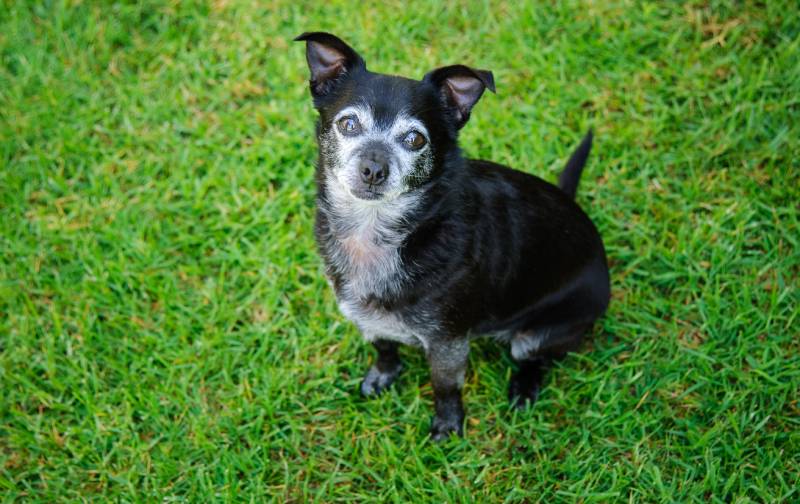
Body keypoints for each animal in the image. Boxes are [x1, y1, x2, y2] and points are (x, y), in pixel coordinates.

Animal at [296, 32, 608, 440]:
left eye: (415, 139)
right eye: (348, 124)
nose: (373, 168)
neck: (377, 233)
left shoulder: (447, 343)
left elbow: (445, 386)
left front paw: (447, 426)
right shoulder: (365, 317)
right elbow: (384, 348)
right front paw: (384, 375)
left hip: (535, 337)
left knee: (535, 360)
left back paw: (524, 387)